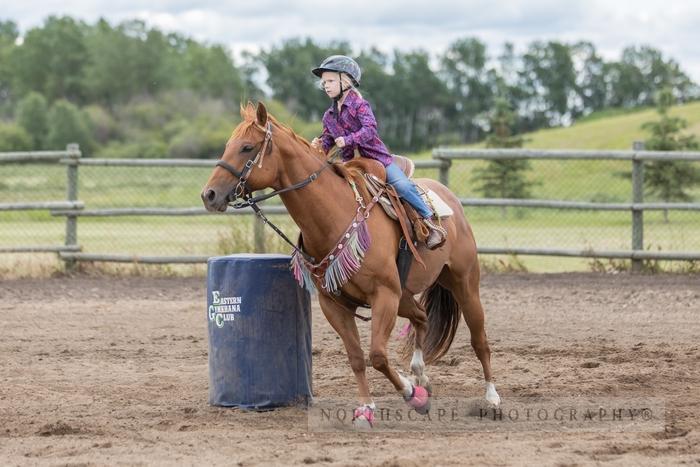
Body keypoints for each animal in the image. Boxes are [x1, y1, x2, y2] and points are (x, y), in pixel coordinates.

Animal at [200, 102, 500, 428]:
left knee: (479, 340)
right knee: (421, 317)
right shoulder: (335, 304)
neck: (335, 214)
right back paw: (421, 376)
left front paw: (412, 395)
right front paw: (368, 408)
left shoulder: (384, 295)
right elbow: (357, 357)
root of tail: (450, 199)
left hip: (464, 283)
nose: (209, 195)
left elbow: (377, 355)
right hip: (405, 296)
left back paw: (491, 399)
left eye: (246, 147)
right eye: (228, 145)